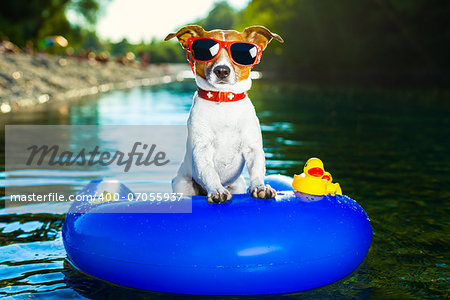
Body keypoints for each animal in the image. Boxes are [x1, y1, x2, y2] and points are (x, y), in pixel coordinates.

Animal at [165, 25, 284, 204]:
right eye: (205, 51)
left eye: (241, 53)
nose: (222, 70)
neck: (224, 103)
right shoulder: (202, 149)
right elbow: (209, 172)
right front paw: (217, 190)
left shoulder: (253, 148)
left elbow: (257, 170)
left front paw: (260, 187)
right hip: (182, 184)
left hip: (238, 184)